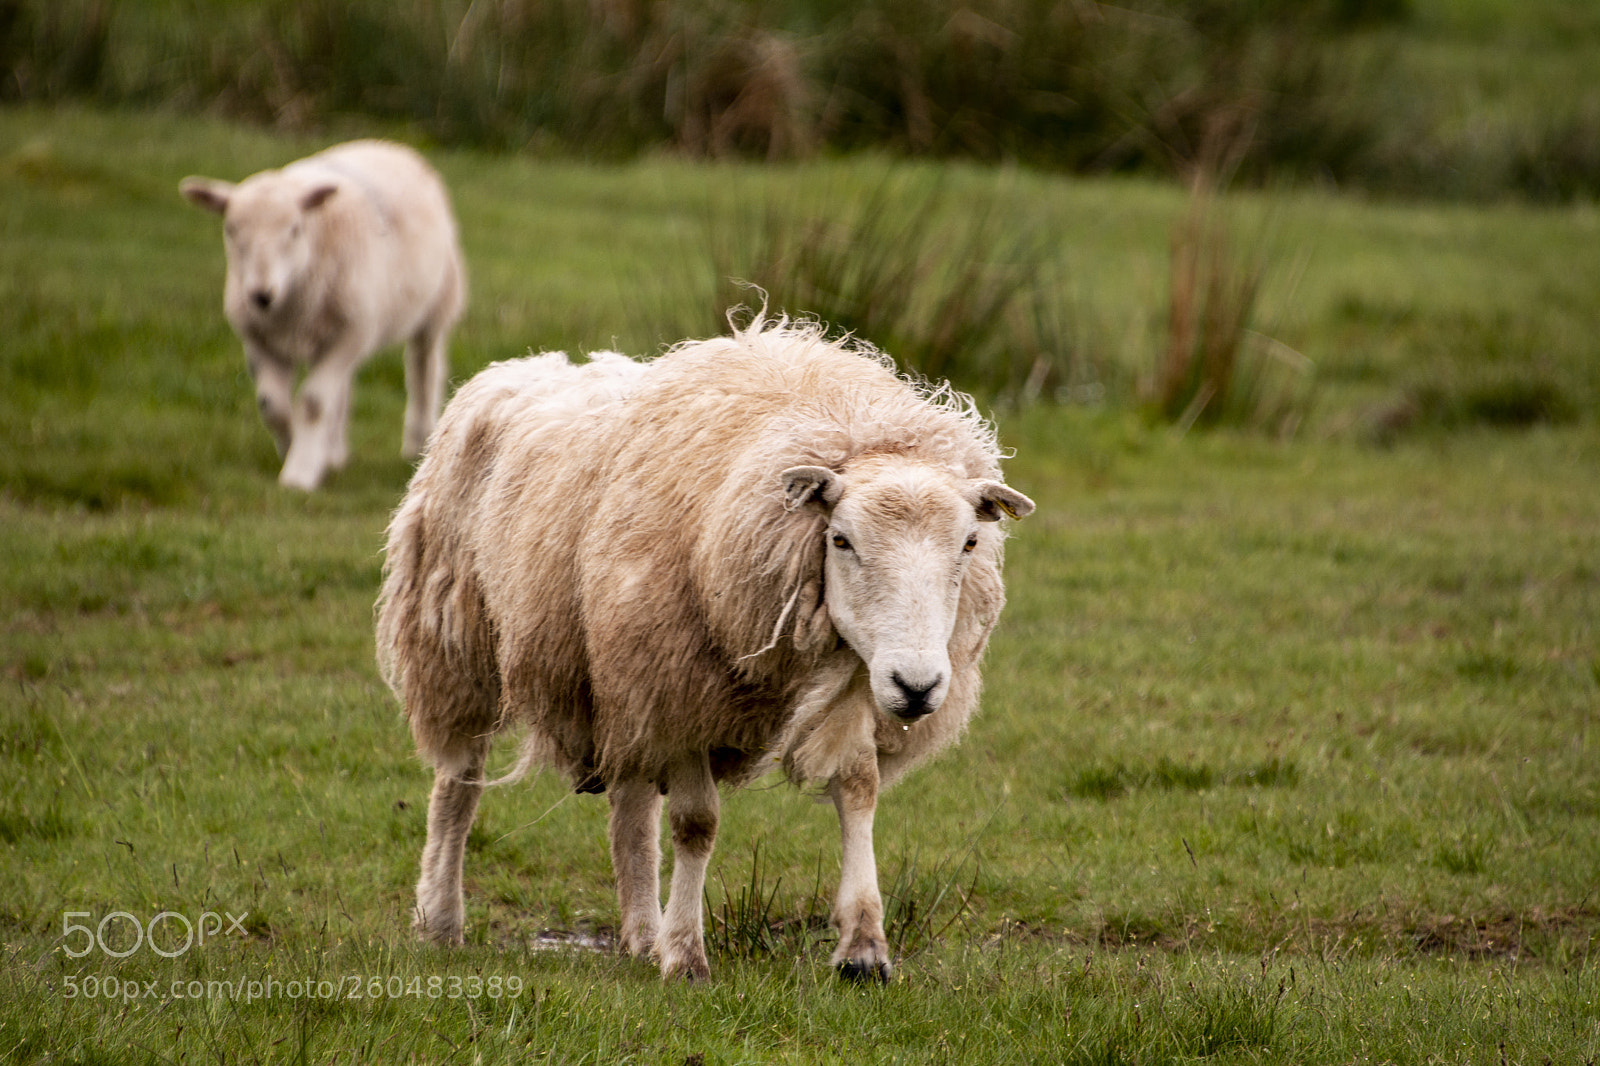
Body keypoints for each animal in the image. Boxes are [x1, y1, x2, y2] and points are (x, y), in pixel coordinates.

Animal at [180, 140, 465, 491]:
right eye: (231, 229)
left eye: (294, 229)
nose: (261, 295)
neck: (291, 302)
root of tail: (387, 145)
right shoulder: (259, 338)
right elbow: (272, 405)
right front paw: (295, 447)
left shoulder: (349, 333)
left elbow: (314, 403)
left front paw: (300, 472)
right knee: (343, 390)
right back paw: (334, 453)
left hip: (432, 306)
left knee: (423, 369)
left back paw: (417, 443)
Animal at [375, 316, 1033, 982]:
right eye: (841, 540)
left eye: (970, 542)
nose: (917, 688)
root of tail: (520, 366)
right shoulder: (683, 688)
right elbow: (697, 824)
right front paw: (688, 956)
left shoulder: (847, 679)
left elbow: (857, 792)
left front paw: (863, 947)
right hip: (461, 642)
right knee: (458, 782)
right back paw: (441, 919)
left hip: (623, 673)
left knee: (631, 809)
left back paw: (642, 935)